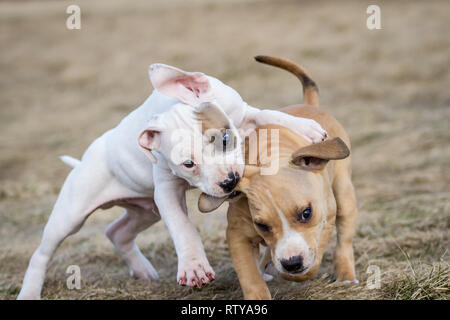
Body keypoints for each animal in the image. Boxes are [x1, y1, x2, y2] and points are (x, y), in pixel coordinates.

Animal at [18, 63, 326, 300]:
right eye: (188, 164)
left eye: (225, 139)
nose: (229, 182)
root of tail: (82, 162)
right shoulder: (166, 190)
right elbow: (183, 227)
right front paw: (194, 267)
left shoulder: (240, 111)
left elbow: (266, 114)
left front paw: (307, 128)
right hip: (71, 215)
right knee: (42, 253)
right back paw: (29, 291)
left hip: (145, 211)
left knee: (117, 231)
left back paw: (142, 270)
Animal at [200, 56, 358, 298]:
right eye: (262, 225)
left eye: (306, 213)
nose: (291, 263)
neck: (270, 157)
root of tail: (309, 104)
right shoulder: (237, 234)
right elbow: (249, 275)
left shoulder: (324, 220)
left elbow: (311, 261)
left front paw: (292, 271)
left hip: (343, 194)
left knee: (344, 240)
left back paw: (346, 275)